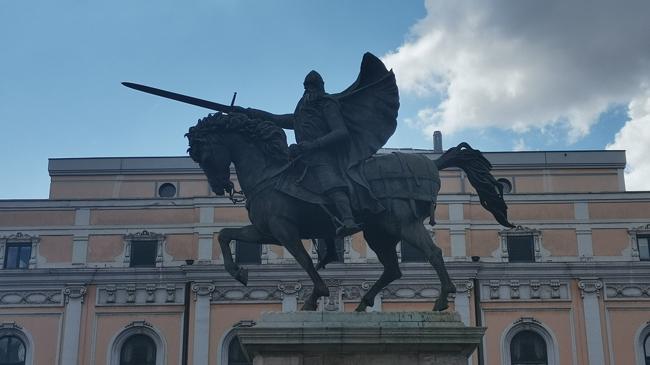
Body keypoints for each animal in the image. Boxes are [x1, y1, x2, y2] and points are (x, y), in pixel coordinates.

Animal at [186, 113, 512, 310]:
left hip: (402, 225)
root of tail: (433, 163)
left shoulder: (284, 231)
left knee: (432, 253)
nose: (218, 186)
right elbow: (224, 234)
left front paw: (316, 295)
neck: (270, 173)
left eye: (204, 153)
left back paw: (443, 298)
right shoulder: (267, 232)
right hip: (379, 235)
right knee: (393, 269)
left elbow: (305, 261)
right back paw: (364, 302)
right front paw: (238, 271)